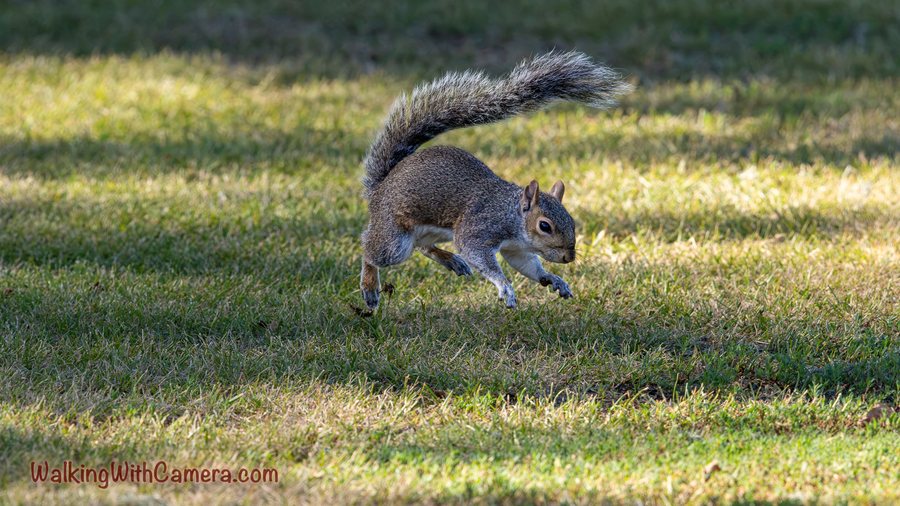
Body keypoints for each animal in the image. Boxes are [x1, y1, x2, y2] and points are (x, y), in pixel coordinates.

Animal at [360, 51, 631, 309]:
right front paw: (505, 287)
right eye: (545, 226)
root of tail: (379, 188)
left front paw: (553, 279)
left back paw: (452, 261)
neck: (511, 214)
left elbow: (528, 266)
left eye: (572, 221)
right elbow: (477, 253)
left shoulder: (516, 248)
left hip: (431, 232)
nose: (569, 257)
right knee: (370, 250)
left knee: (423, 247)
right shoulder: (479, 228)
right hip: (394, 238)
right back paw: (370, 286)